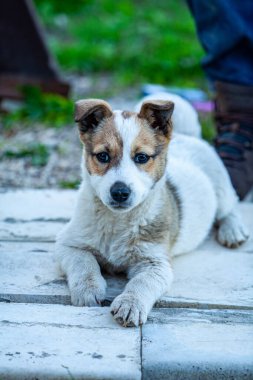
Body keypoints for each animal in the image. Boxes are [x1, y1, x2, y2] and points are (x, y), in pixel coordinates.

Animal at [55, 92, 249, 326]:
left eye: (141, 157)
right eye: (103, 156)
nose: (120, 192)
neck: (117, 222)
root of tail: (186, 135)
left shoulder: (156, 263)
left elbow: (142, 283)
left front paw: (130, 304)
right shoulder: (68, 244)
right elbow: (84, 263)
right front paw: (88, 289)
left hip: (221, 187)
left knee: (230, 207)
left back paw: (233, 230)